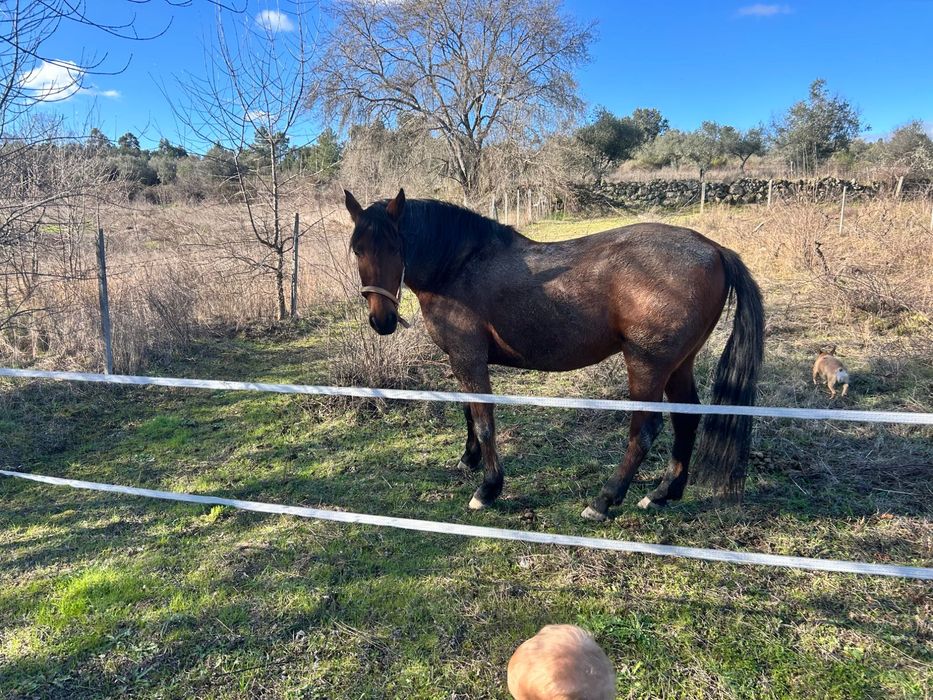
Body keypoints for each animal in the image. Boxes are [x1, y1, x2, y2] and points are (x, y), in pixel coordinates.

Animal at [344, 188, 765, 521]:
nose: (382, 321)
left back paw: (604, 500)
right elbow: (469, 412)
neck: (460, 266)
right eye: (357, 249)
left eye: (396, 247)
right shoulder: (461, 359)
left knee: (644, 430)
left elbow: (483, 420)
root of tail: (714, 249)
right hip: (679, 366)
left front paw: (489, 488)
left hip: (647, 366)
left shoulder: (468, 358)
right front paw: (469, 460)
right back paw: (663, 494)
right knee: (686, 420)